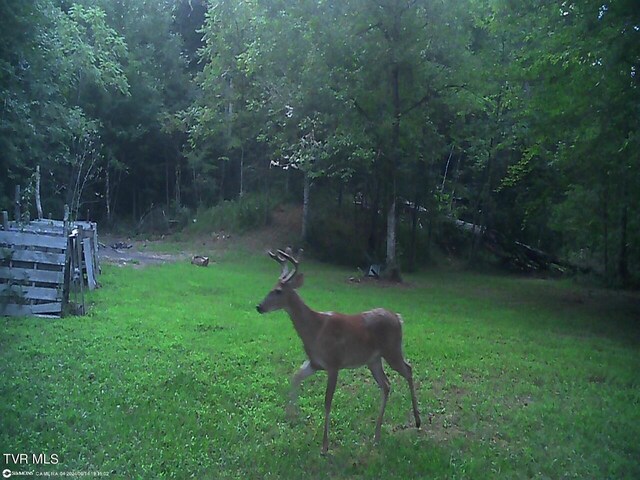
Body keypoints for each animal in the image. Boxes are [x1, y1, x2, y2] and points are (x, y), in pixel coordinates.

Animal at [255, 248, 420, 454]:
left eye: (278, 290)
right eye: (271, 286)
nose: (259, 306)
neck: (314, 330)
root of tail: (398, 318)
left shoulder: (334, 363)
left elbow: (327, 401)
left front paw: (325, 445)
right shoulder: (315, 362)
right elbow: (295, 377)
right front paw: (292, 416)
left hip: (392, 349)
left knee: (408, 369)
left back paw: (417, 420)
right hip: (373, 359)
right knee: (386, 384)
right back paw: (377, 434)